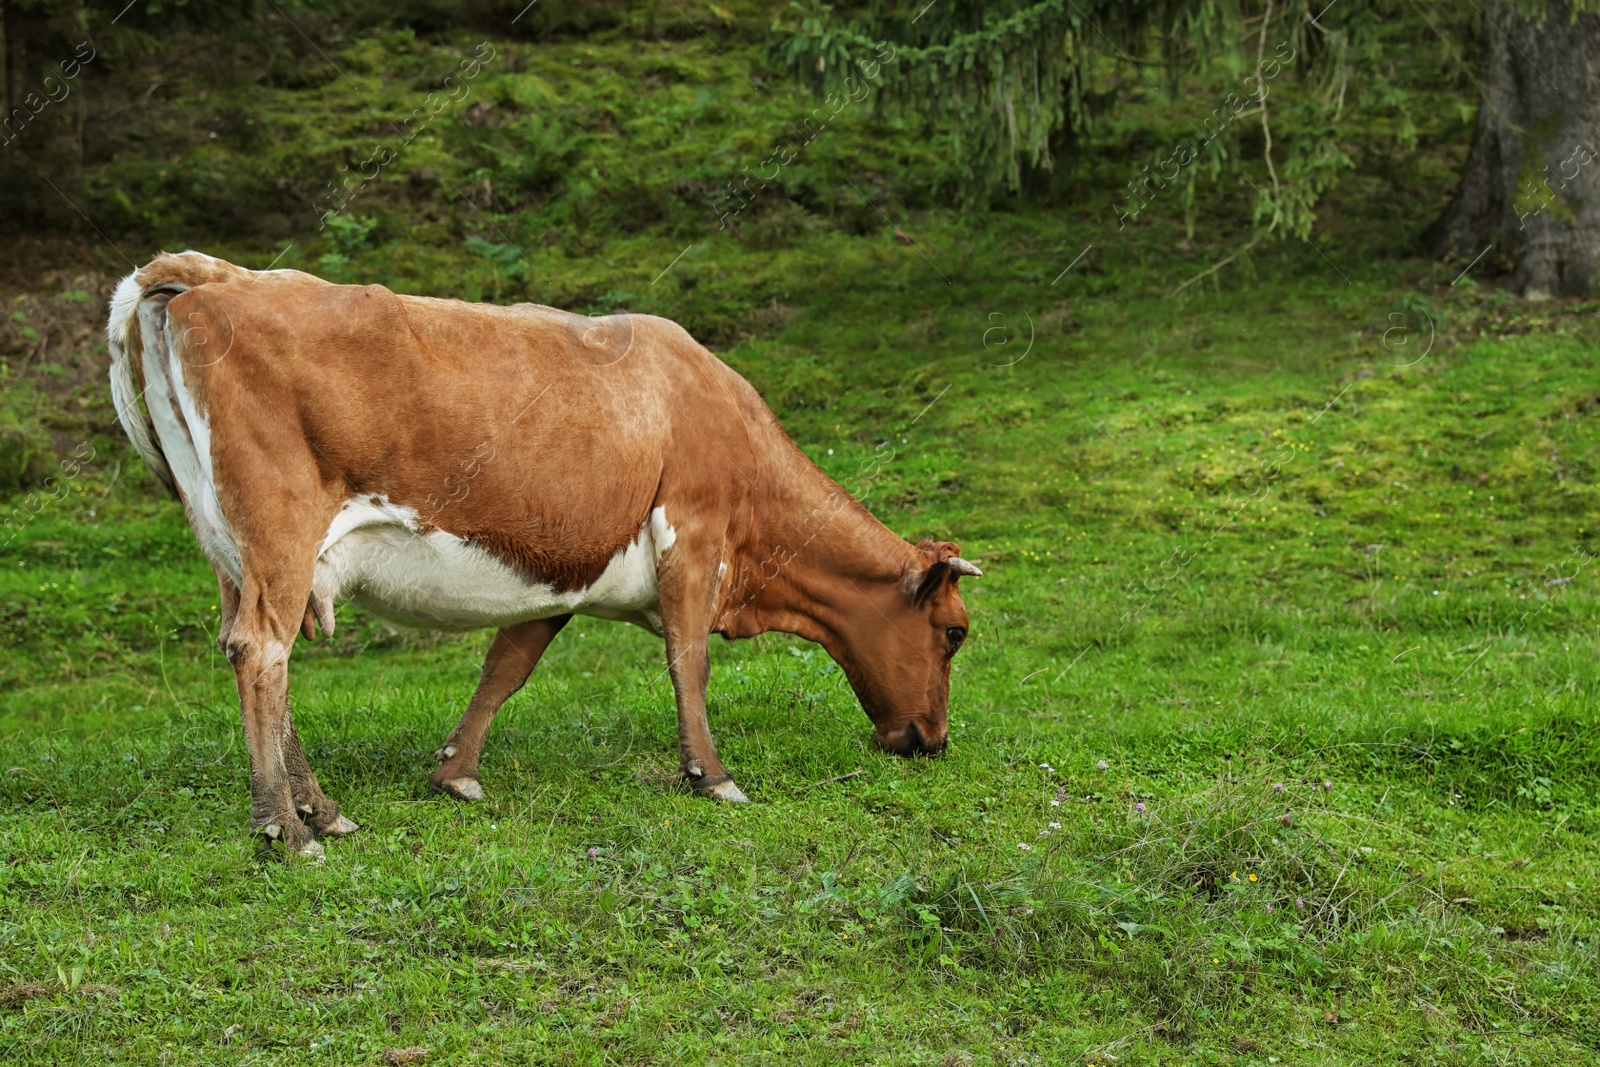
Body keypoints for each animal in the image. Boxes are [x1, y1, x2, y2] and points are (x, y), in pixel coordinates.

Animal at [106, 254, 979, 863]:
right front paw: (713, 774)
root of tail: (215, 274)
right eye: (955, 632)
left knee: (255, 650)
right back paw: (287, 827)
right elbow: (688, 660)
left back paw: (323, 809)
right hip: (280, 531)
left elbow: (508, 665)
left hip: (231, 548)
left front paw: (456, 772)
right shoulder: (693, 534)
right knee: (264, 651)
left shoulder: (563, 570)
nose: (932, 741)